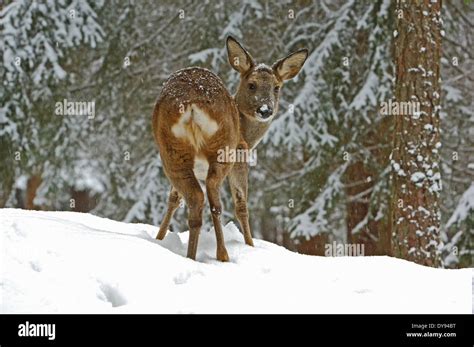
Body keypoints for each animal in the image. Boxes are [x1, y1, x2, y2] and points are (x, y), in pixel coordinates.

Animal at [152, 37, 308, 260]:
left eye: (277, 87)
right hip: (223, 149)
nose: (265, 110)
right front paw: (250, 245)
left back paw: (192, 255)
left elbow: (173, 199)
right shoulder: (241, 155)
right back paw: (222, 254)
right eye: (251, 85)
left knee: (195, 199)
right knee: (214, 200)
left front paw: (159, 238)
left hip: (172, 151)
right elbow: (242, 205)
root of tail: (191, 103)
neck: (247, 133)